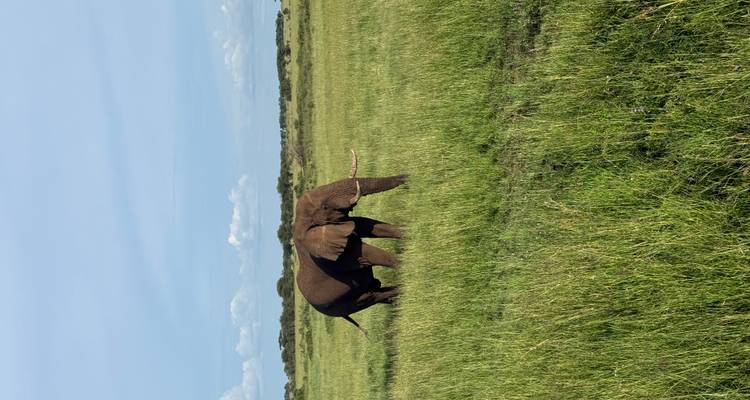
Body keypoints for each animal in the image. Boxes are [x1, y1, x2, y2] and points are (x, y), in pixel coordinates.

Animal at [293, 150, 407, 335]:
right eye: (324, 207)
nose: (410, 176)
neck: (299, 225)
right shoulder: (336, 256)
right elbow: (368, 253)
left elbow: (366, 225)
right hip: (337, 305)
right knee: (372, 296)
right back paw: (403, 291)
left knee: (375, 288)